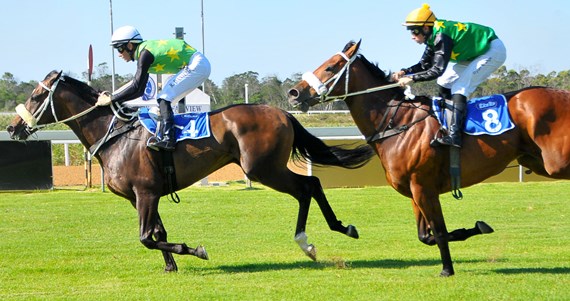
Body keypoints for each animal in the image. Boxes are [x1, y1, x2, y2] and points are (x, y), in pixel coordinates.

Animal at [8, 71, 374, 272]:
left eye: (36, 95)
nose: (12, 127)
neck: (115, 135)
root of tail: (281, 112)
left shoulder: (145, 193)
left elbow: (146, 237)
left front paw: (194, 250)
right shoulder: (144, 195)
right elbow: (158, 233)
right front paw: (171, 266)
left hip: (262, 168)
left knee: (308, 185)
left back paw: (316, 239)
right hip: (266, 167)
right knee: (309, 186)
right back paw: (333, 232)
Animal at [286, 40, 568, 276]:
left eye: (330, 66)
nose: (294, 93)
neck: (397, 123)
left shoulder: (424, 187)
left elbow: (439, 231)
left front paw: (447, 269)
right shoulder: (415, 191)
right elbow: (427, 235)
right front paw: (475, 228)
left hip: (555, 162)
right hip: (536, 161)